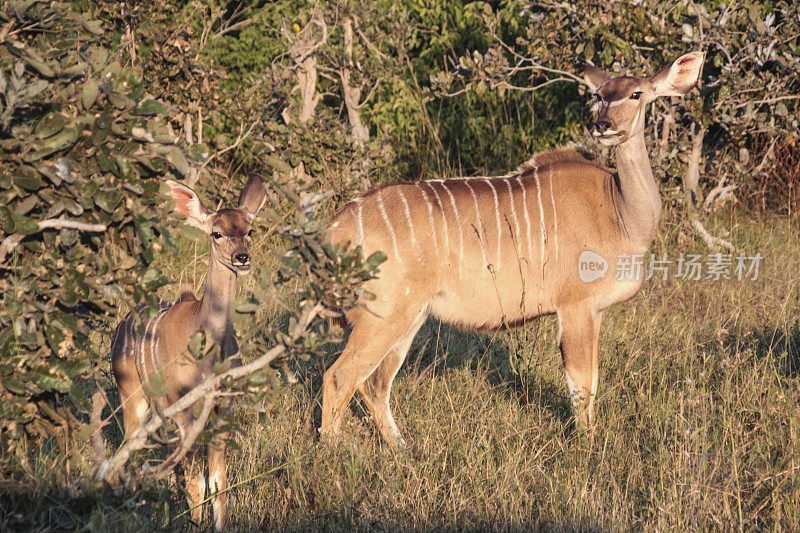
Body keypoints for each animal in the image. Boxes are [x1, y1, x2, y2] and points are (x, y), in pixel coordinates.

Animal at [111, 175, 268, 528]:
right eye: (216, 232)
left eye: (249, 230)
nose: (242, 258)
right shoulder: (184, 408)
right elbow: (198, 484)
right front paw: (193, 523)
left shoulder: (222, 408)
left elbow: (218, 484)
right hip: (133, 396)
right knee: (131, 451)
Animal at [322, 52, 704, 448]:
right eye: (600, 95)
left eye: (636, 94)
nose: (602, 125)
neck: (618, 209)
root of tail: (336, 227)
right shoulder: (575, 308)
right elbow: (580, 385)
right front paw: (587, 447)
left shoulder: (596, 312)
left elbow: (593, 380)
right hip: (383, 315)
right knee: (340, 376)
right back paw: (337, 451)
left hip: (410, 316)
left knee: (374, 383)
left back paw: (400, 447)